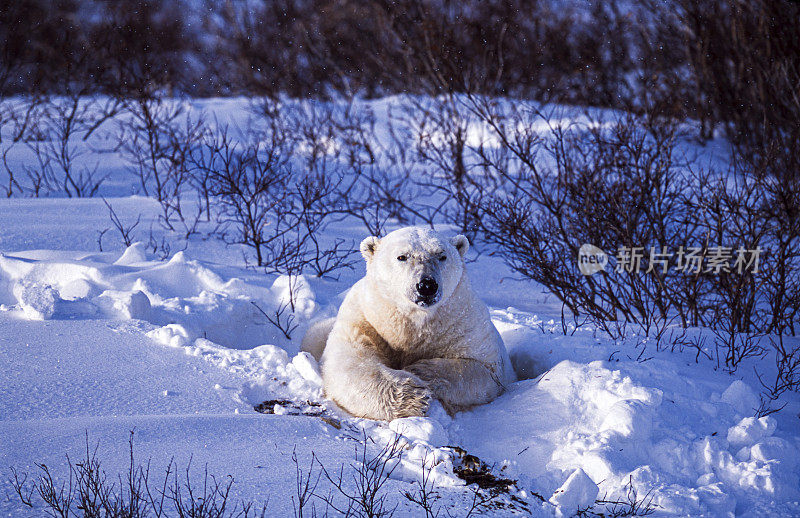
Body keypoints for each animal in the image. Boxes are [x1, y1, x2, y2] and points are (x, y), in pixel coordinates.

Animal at [304, 228, 516, 422]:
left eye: (442, 256)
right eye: (402, 256)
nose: (427, 286)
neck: (414, 322)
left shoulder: (464, 323)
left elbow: (483, 370)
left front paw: (418, 371)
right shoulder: (365, 320)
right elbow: (351, 363)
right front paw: (415, 395)